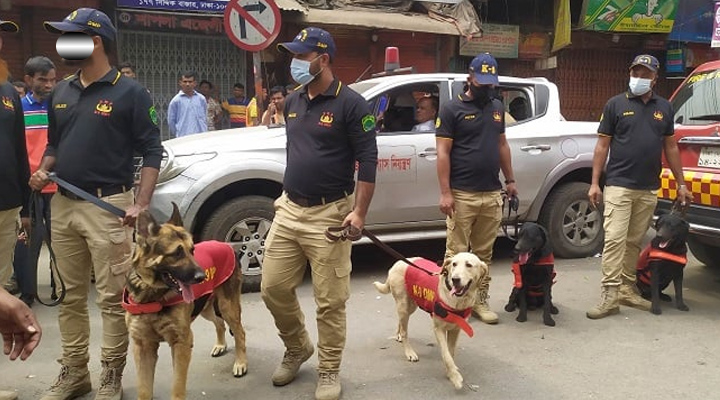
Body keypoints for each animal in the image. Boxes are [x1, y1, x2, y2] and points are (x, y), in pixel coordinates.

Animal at [124, 206, 248, 400]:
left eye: (192, 250)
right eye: (177, 253)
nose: (201, 277)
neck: (153, 295)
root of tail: (227, 245)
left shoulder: (181, 343)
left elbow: (177, 386)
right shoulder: (142, 347)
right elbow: (144, 389)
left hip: (227, 307)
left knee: (240, 332)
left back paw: (241, 363)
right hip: (205, 309)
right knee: (219, 323)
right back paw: (220, 345)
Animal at [374, 255, 486, 390]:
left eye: (469, 265)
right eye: (454, 264)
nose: (455, 279)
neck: (457, 301)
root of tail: (398, 263)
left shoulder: (455, 330)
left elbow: (451, 352)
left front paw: (451, 372)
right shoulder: (438, 329)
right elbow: (446, 355)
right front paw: (455, 377)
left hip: (411, 305)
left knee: (400, 322)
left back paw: (398, 335)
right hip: (404, 306)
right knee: (405, 331)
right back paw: (409, 352)